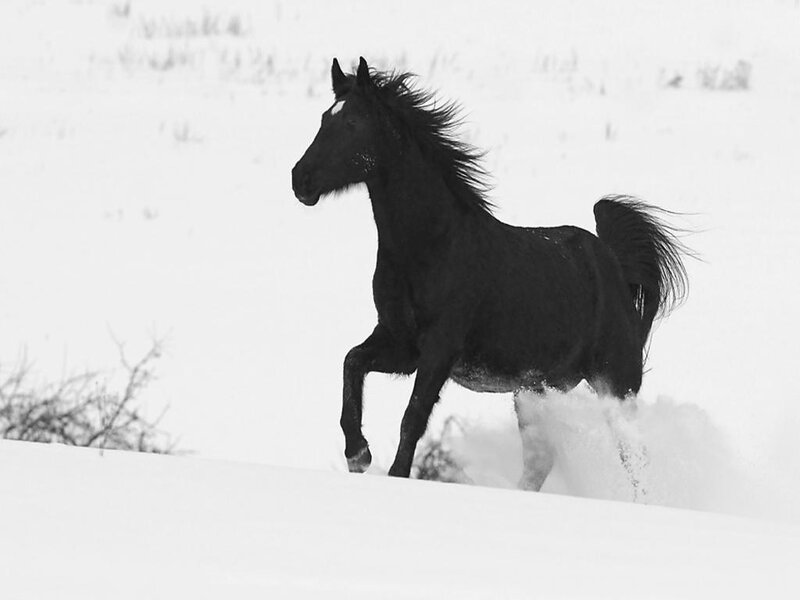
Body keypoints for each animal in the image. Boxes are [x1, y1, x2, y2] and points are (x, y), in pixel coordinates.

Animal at [291, 57, 689, 492]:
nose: (300, 179)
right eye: (324, 118)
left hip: (615, 383)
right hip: (534, 390)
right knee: (540, 460)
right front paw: (357, 454)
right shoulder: (400, 343)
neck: (432, 247)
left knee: (634, 457)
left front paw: (394, 474)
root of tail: (612, 264)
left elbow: (412, 419)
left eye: (352, 123)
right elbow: (352, 363)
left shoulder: (439, 349)